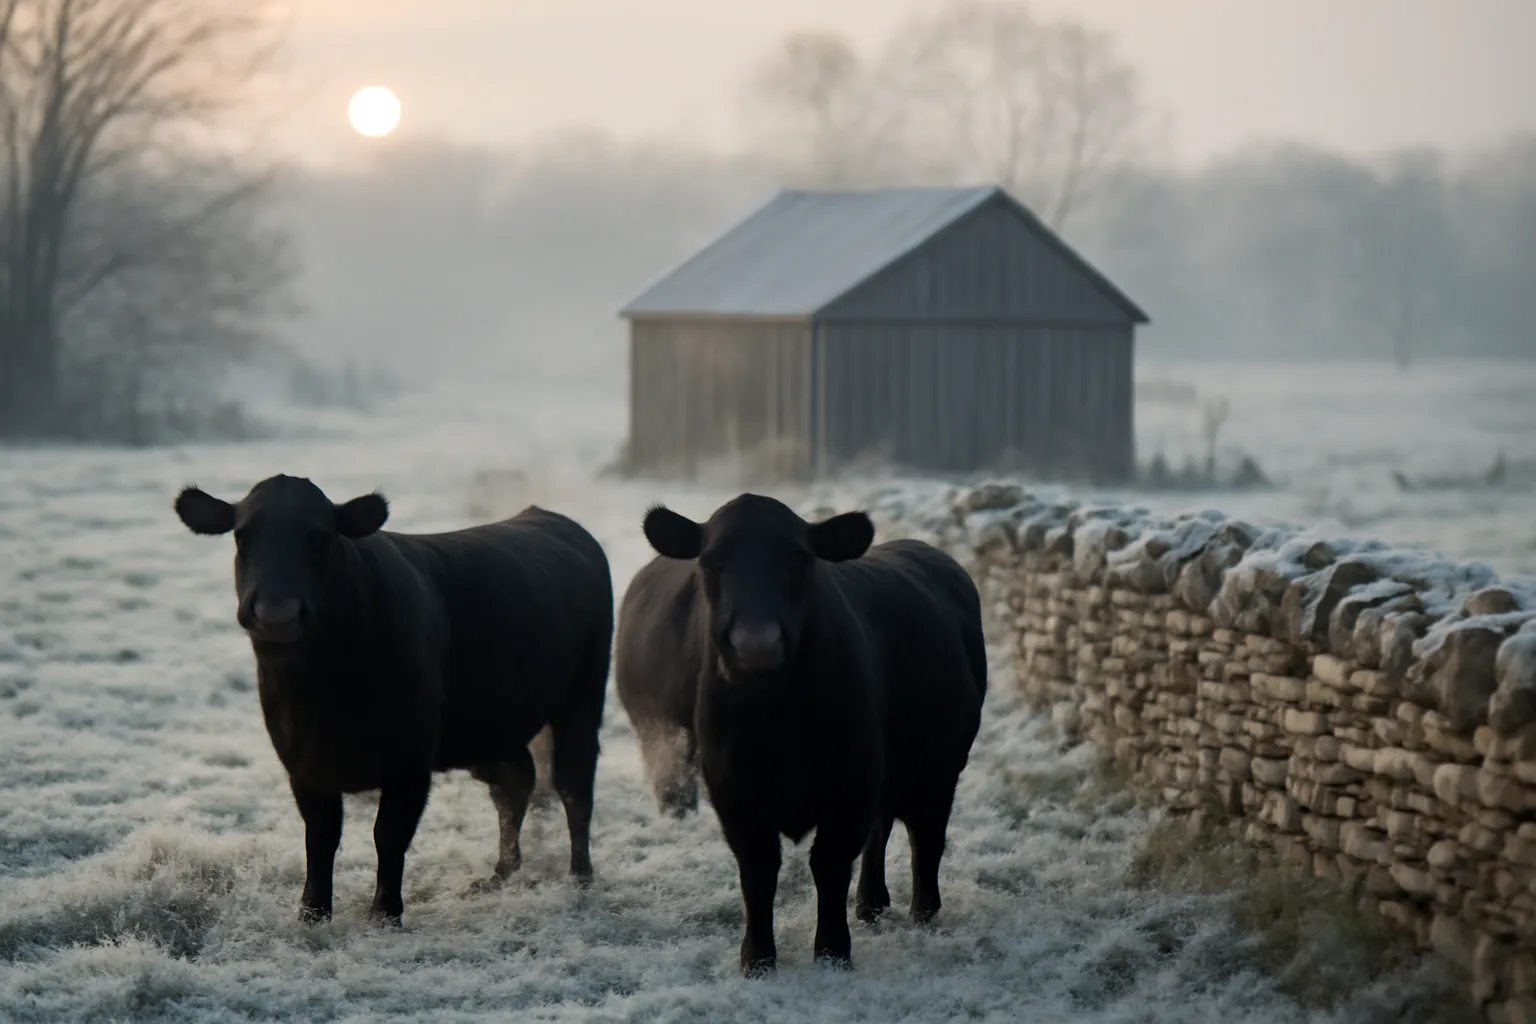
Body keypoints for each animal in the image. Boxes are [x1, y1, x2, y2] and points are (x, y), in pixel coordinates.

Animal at [173, 474, 613, 927]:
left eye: (320, 536)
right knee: (514, 783)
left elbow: (389, 834)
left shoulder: (410, 762)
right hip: (493, 723)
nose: (277, 613)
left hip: (583, 698)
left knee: (574, 786)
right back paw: (500, 873)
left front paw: (385, 914)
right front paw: (312, 912)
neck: (323, 697)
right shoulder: (302, 764)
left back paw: (580, 877)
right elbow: (320, 837)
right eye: (242, 536)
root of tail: (547, 517)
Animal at [617, 493, 987, 975]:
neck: (778, 721)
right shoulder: (733, 791)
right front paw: (757, 959)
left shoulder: (850, 784)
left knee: (925, 837)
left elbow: (829, 864)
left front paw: (832, 952)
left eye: (798, 558)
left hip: (937, 767)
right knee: (884, 827)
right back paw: (871, 903)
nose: (756, 644)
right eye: (712, 561)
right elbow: (758, 870)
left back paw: (923, 913)